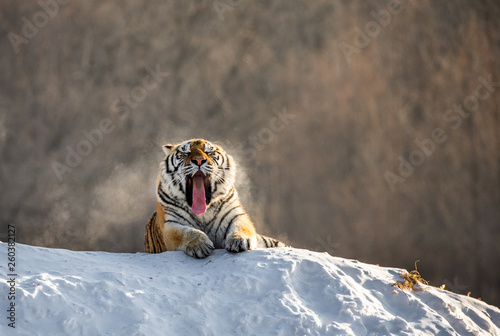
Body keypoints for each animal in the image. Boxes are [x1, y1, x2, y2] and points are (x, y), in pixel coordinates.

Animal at [145, 138, 286, 258]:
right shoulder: (171, 224)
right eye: (186, 153)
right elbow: (187, 232)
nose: (199, 161)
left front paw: (239, 240)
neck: (203, 212)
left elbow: (241, 226)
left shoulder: (235, 215)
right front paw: (199, 244)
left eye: (209, 152)